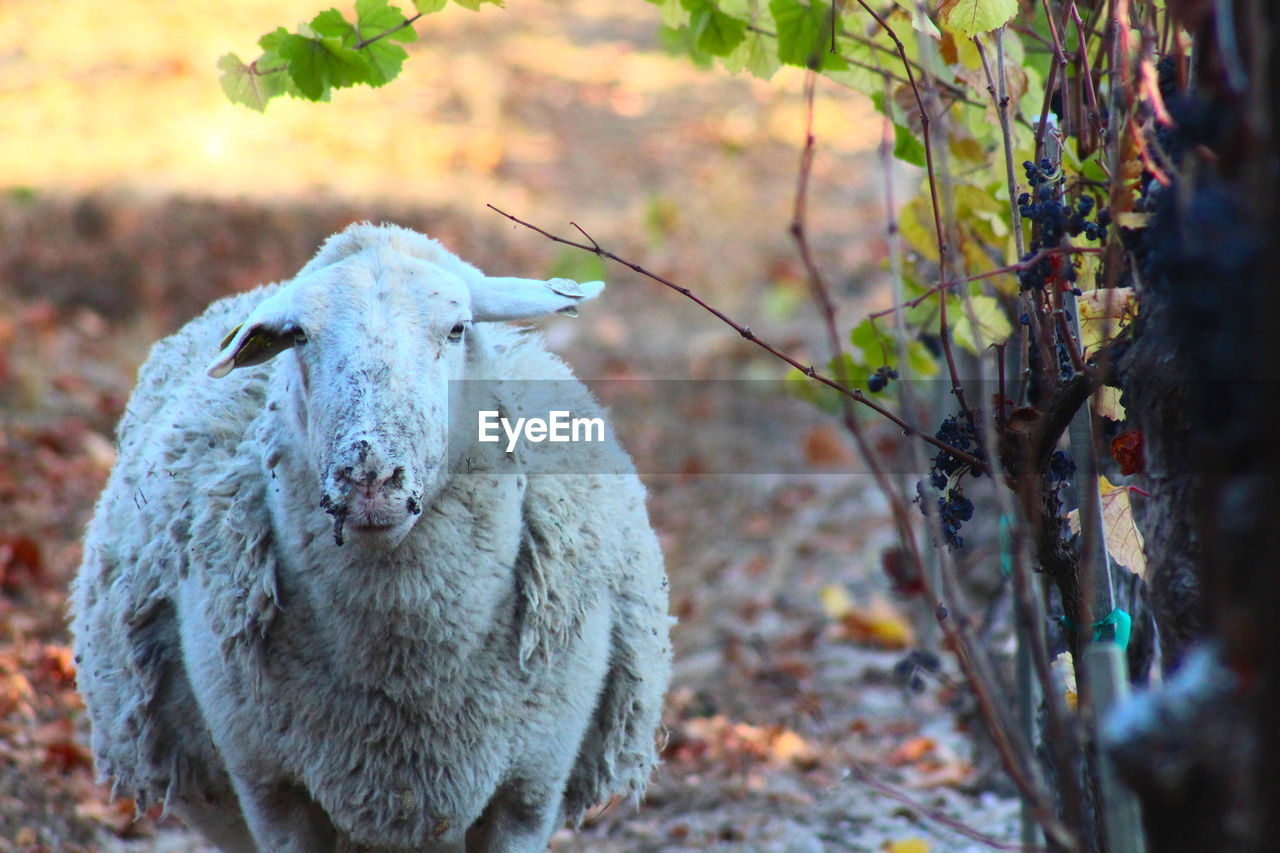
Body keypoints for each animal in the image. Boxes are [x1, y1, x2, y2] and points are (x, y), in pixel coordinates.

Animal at [72, 220, 670, 850]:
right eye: (299, 335)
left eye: (457, 328)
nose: (370, 478)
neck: (404, 671)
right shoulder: (272, 792)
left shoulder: (528, 792)